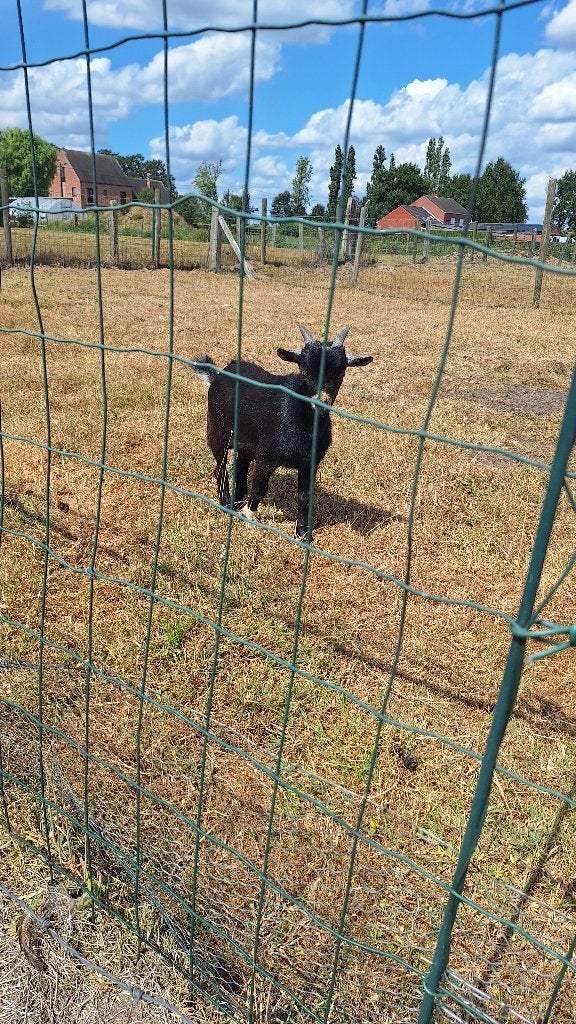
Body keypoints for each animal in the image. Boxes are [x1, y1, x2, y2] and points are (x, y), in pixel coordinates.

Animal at [193, 324, 373, 539]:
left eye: (341, 374)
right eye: (304, 371)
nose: (321, 403)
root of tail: (218, 375)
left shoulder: (309, 463)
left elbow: (305, 496)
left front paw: (303, 534)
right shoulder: (266, 457)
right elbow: (259, 488)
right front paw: (250, 519)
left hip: (245, 442)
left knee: (241, 465)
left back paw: (238, 502)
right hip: (216, 430)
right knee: (220, 468)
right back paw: (227, 503)